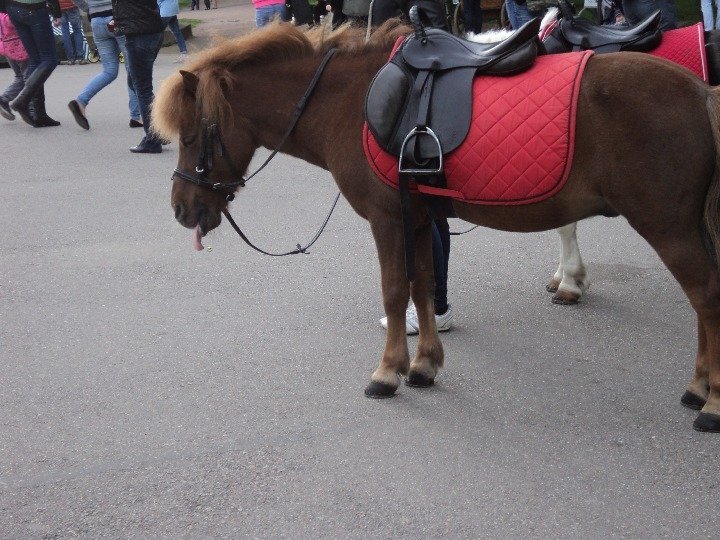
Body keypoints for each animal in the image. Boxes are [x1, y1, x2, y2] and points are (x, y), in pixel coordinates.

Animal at [153, 20, 720, 432]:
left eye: (190, 135)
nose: (181, 208)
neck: (348, 101)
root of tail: (698, 90)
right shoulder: (419, 219)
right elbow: (422, 286)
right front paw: (423, 363)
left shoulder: (387, 220)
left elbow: (392, 290)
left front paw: (388, 371)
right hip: (686, 227)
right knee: (702, 298)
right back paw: (699, 386)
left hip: (667, 226)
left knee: (705, 296)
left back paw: (712, 401)